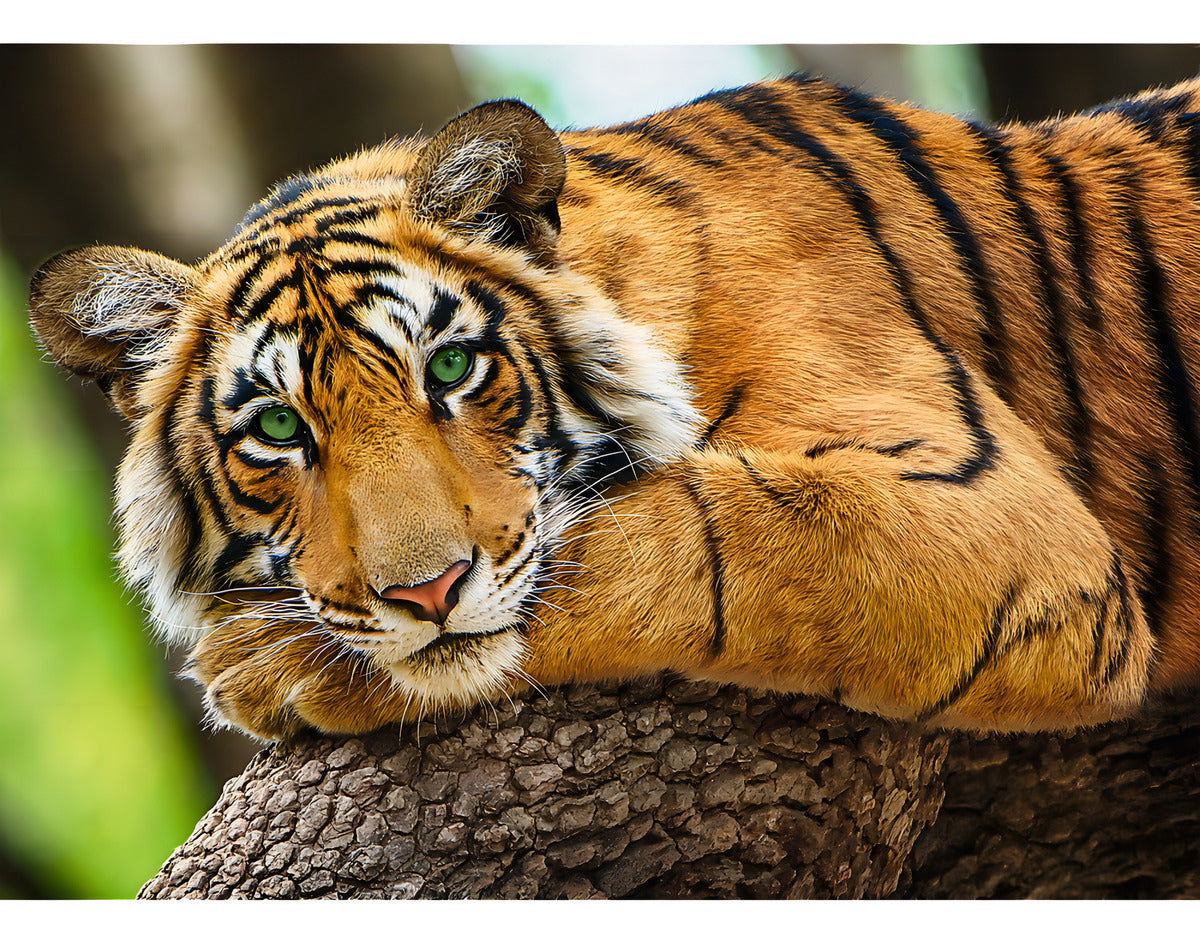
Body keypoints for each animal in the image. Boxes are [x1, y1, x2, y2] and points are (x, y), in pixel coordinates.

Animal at [28, 73, 1200, 741]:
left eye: (451, 368)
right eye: (277, 428)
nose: (425, 593)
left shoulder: (998, 517)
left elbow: (685, 534)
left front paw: (265, 664)